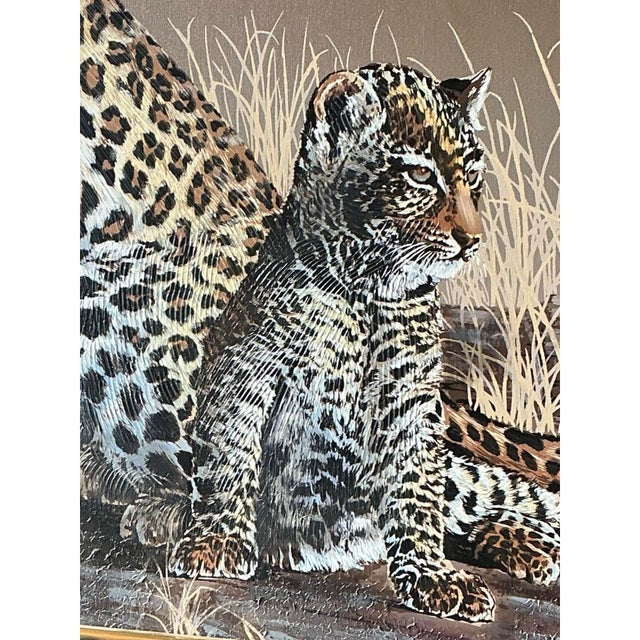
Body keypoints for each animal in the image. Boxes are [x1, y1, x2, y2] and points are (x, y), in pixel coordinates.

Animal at [80, 0, 559, 623]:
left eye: (472, 176)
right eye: (419, 175)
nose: (472, 241)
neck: (365, 284)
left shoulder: (410, 399)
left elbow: (417, 491)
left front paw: (429, 575)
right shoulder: (249, 365)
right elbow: (231, 452)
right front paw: (219, 542)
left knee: (487, 488)